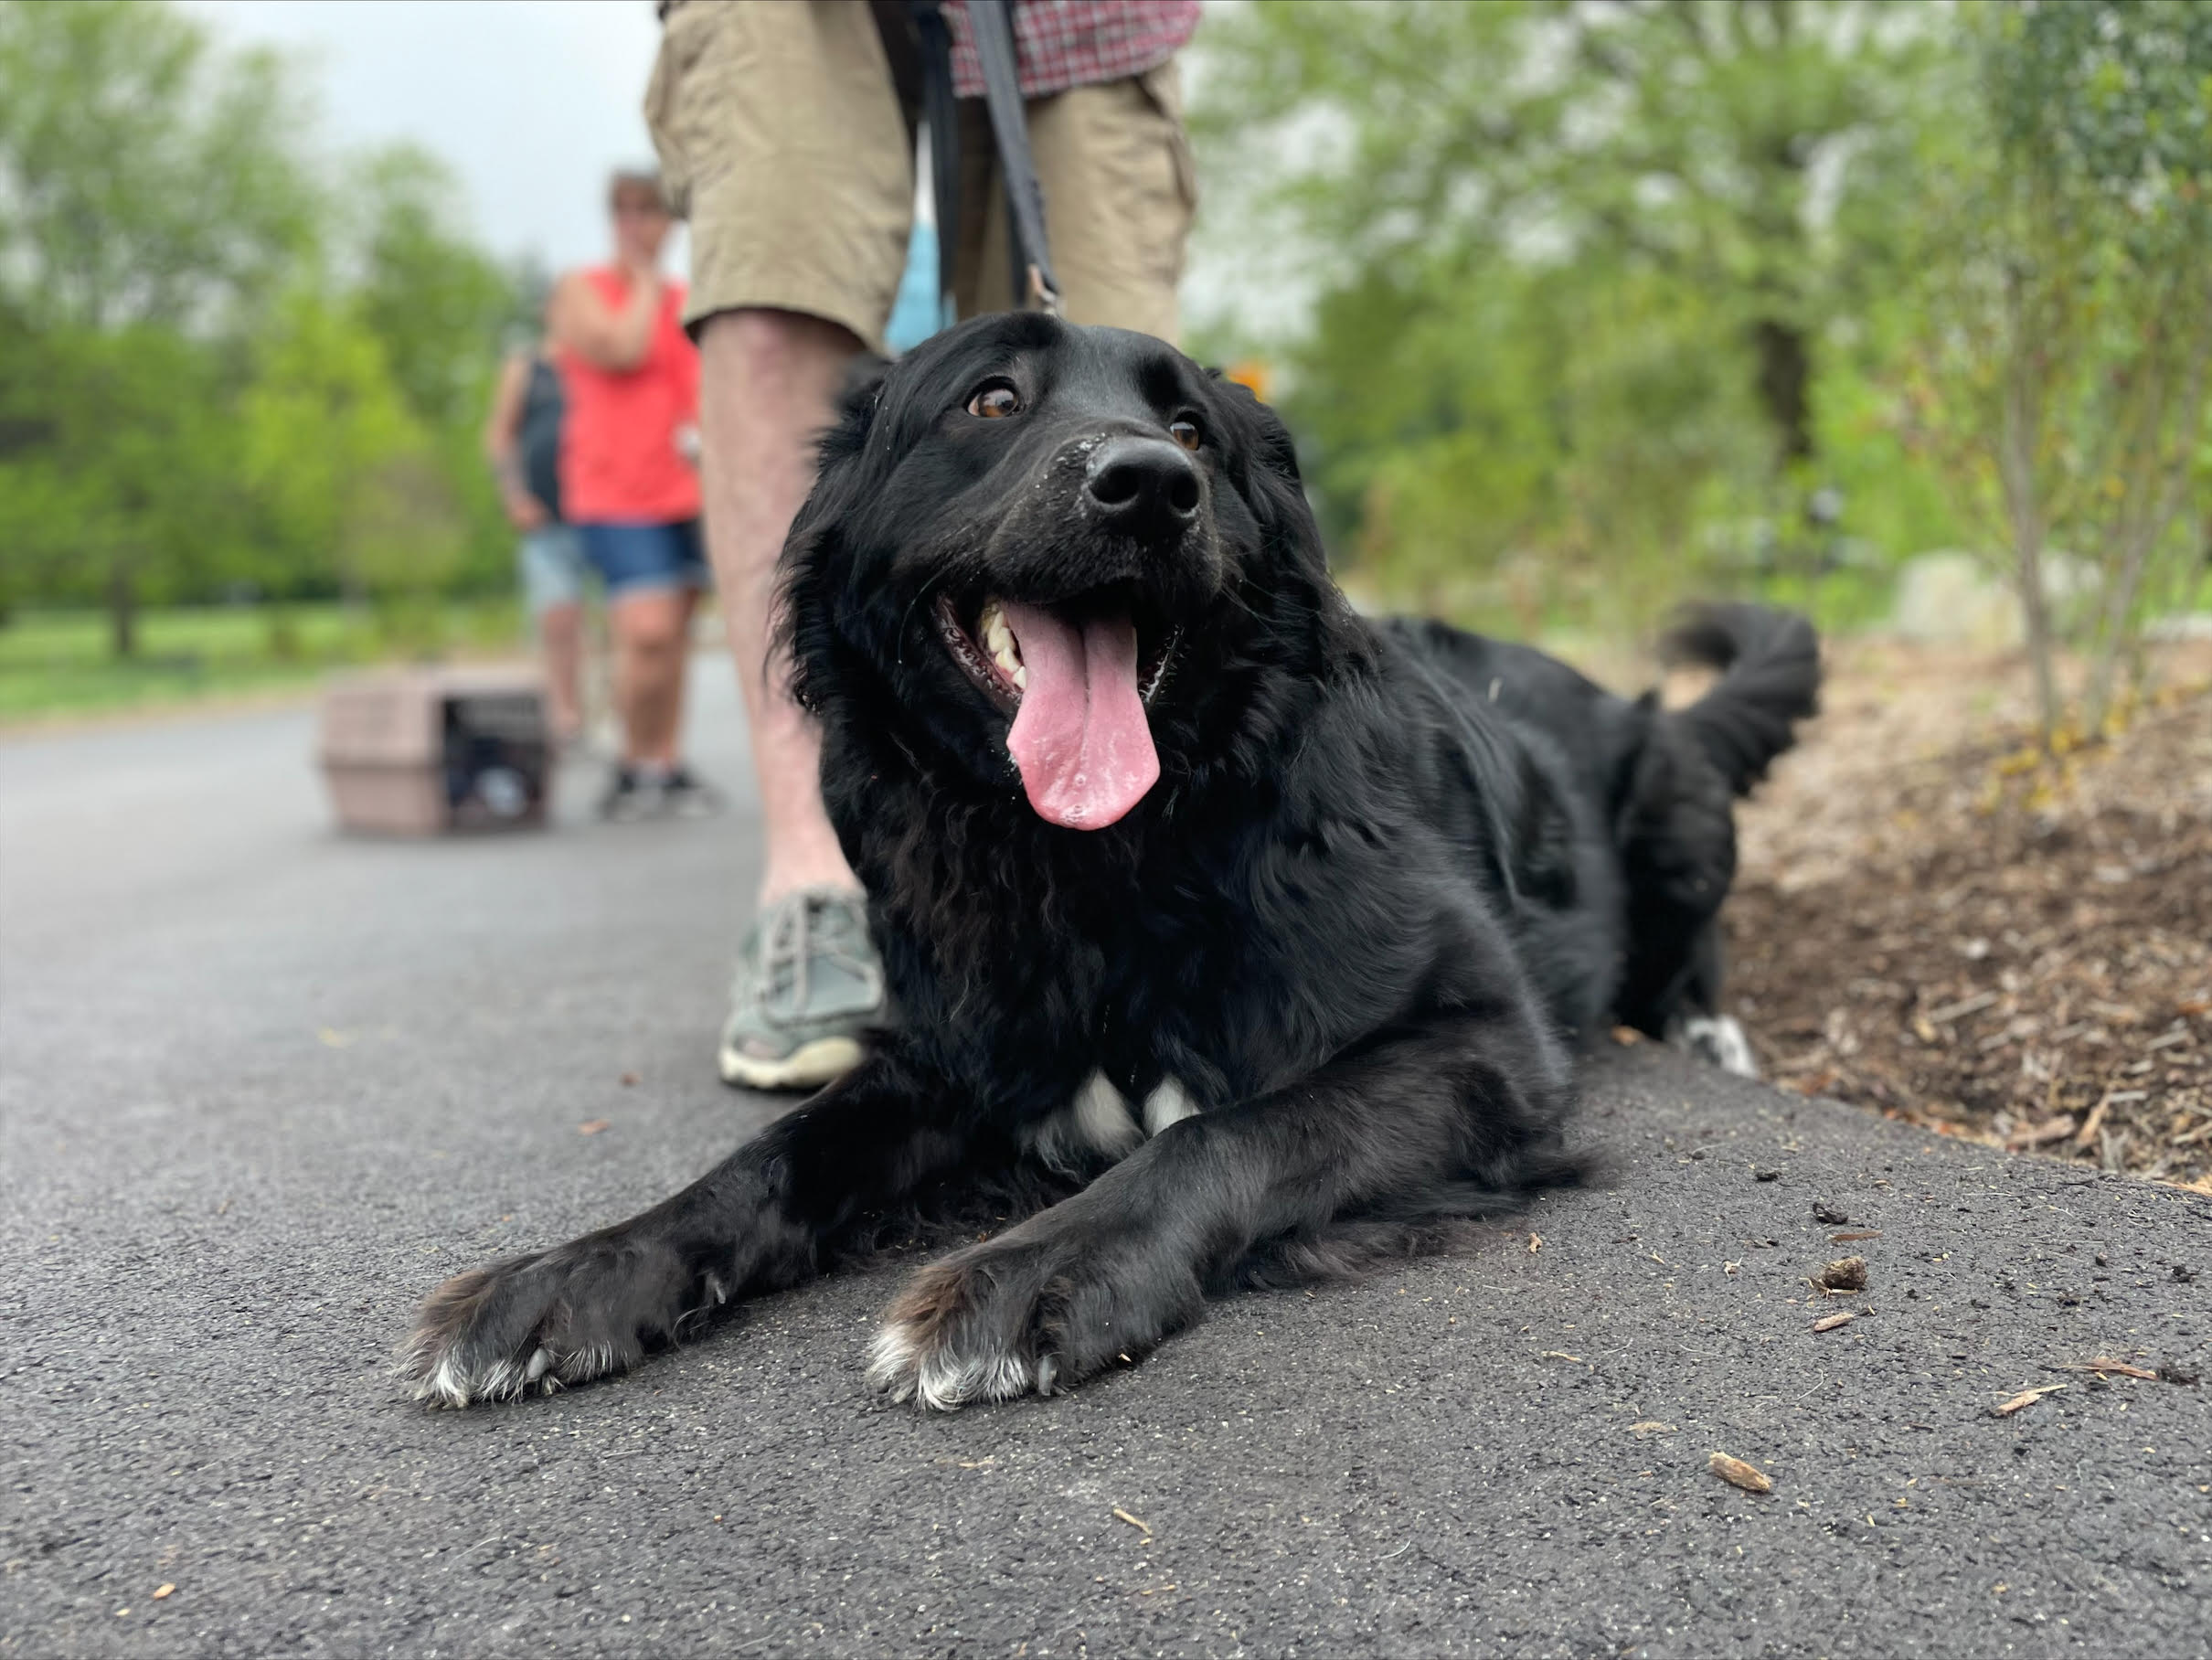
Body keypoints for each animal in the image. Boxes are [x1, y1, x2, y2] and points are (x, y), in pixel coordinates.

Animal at [402, 314, 1813, 1416]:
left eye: (1191, 429)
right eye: (990, 400)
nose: (1147, 485)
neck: (1098, 858)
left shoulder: (1480, 1039)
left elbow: (1216, 1134)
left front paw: (1036, 1272)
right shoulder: (948, 1058)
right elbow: (768, 1158)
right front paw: (576, 1274)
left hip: (1674, 805)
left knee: (1689, 947)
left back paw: (1709, 1029)